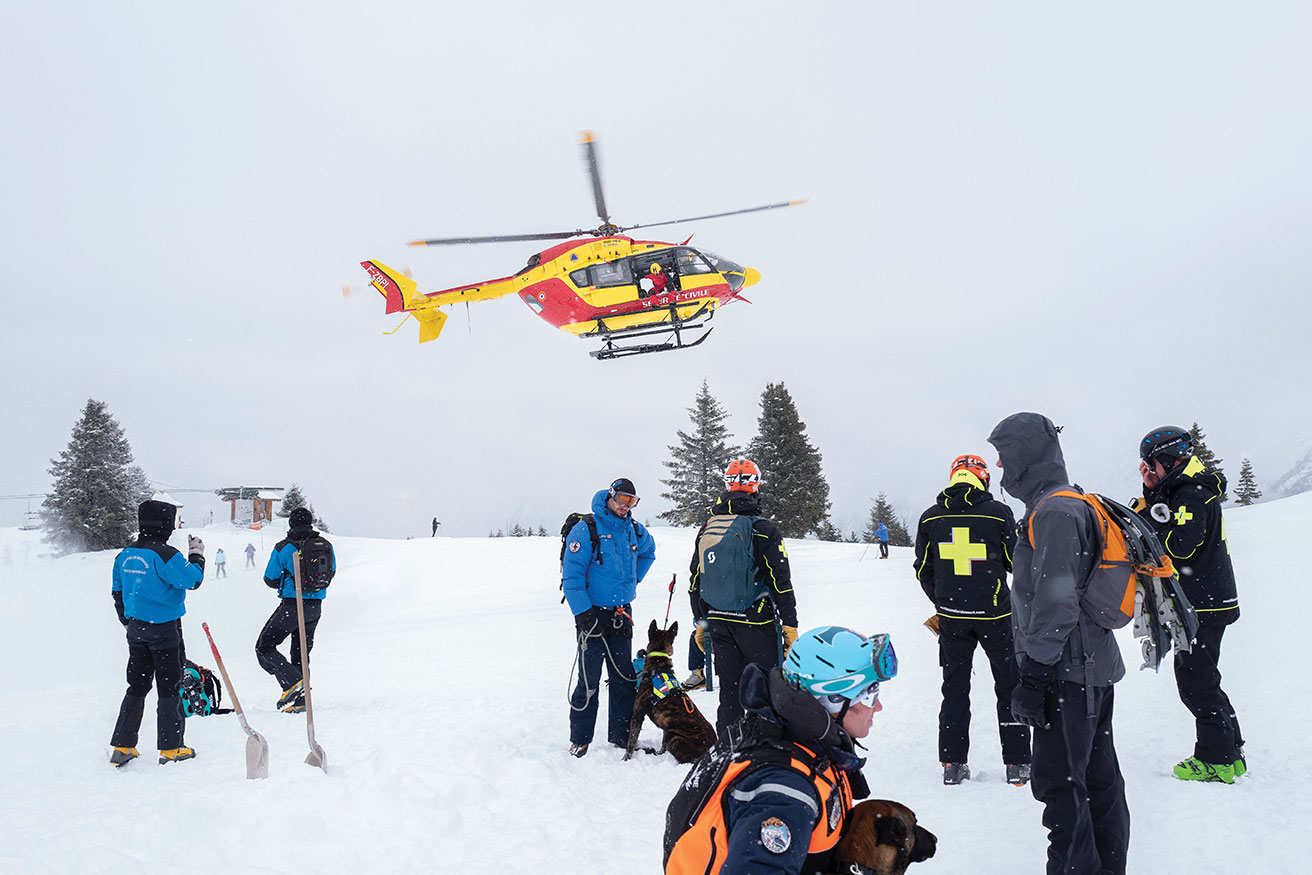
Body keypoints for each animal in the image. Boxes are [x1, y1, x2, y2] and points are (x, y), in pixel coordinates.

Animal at [624, 619, 718, 760]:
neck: (658, 663)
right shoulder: (666, 727)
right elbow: (662, 743)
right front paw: (658, 753)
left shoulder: (637, 715)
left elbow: (631, 741)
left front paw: (625, 759)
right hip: (671, 733)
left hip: (675, 739)